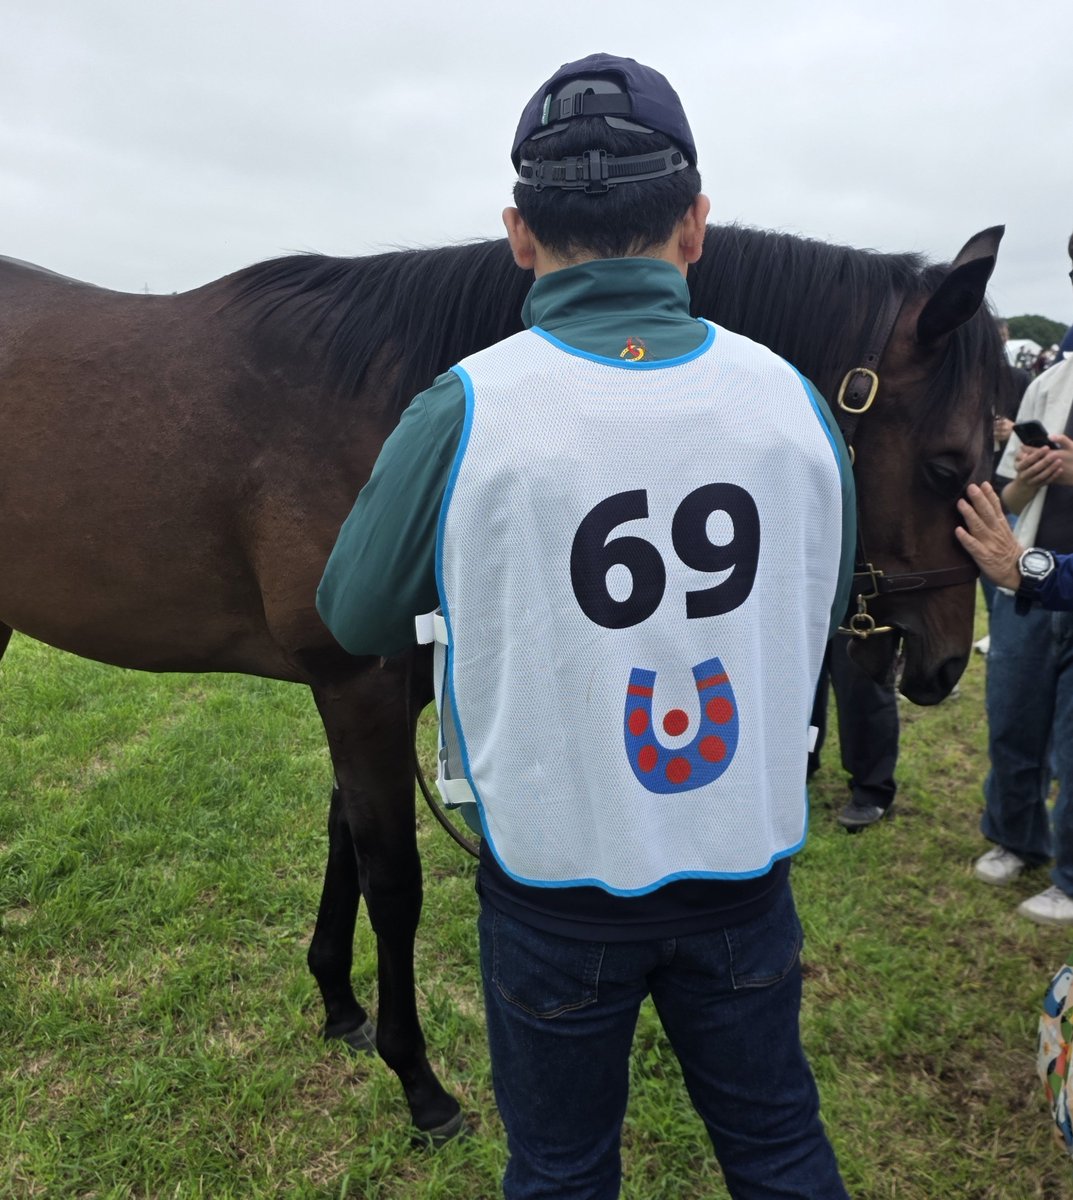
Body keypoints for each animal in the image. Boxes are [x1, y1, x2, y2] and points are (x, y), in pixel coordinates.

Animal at [0, 223, 1009, 1140]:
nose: (941, 664)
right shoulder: (356, 688)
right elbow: (392, 881)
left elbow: (342, 843)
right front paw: (419, 1083)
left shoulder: (374, 695)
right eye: (946, 465)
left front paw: (339, 1005)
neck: (379, 397)